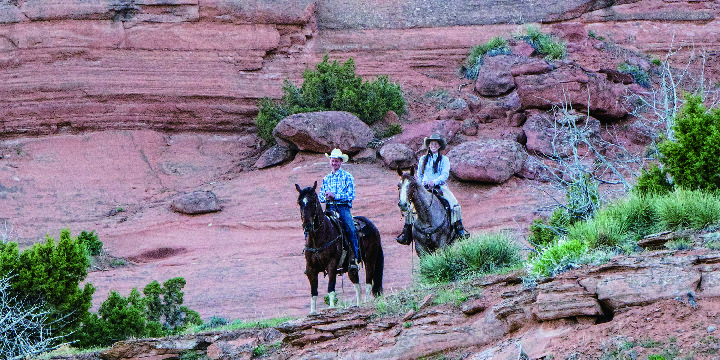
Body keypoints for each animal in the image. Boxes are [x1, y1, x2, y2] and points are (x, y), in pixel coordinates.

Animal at [294, 181, 382, 314]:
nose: (307, 225)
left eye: (313, 201)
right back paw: (359, 304)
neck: (318, 238)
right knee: (357, 286)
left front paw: (331, 308)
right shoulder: (310, 269)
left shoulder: (332, 265)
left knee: (368, 282)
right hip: (352, 269)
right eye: (299, 202)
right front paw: (313, 312)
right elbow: (313, 292)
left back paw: (366, 302)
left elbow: (331, 287)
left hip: (370, 260)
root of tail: (373, 227)